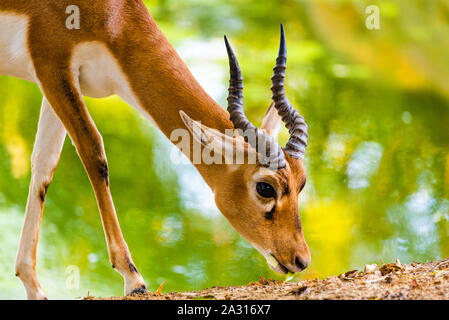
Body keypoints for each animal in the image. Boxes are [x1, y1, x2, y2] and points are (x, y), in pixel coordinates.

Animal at [0, 0, 310, 300]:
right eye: (265, 187)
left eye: (302, 183)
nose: (301, 259)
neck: (113, 14)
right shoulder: (51, 66)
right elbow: (94, 151)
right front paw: (133, 279)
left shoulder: (56, 80)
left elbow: (44, 164)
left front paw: (32, 286)